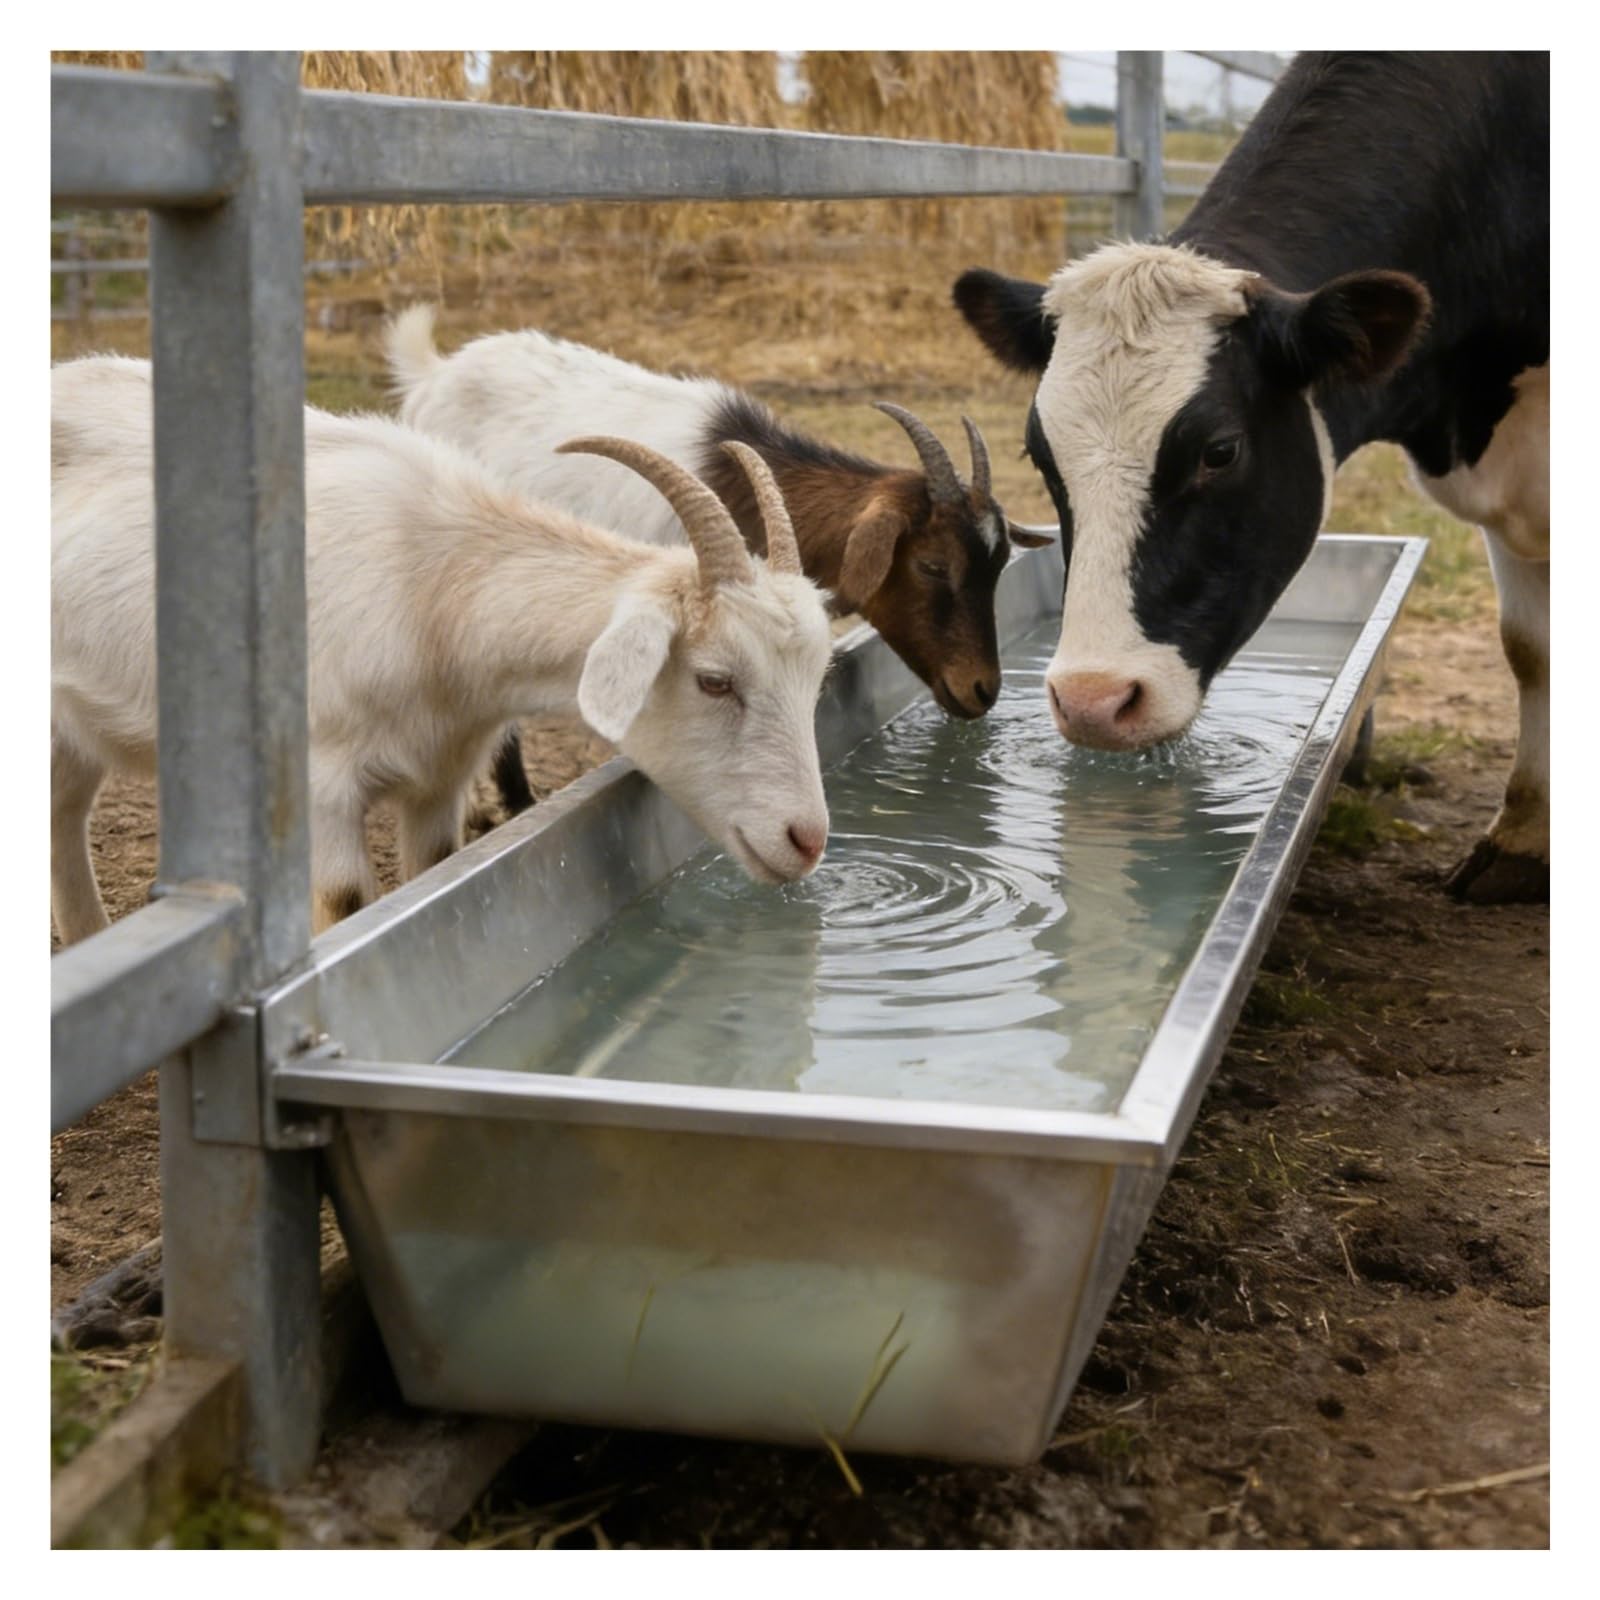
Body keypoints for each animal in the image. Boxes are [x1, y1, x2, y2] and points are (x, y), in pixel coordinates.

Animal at [51, 356, 832, 944]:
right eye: (714, 680)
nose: (806, 839)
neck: (434, 588)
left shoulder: (439, 777)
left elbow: (430, 873)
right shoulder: (321, 785)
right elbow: (345, 903)